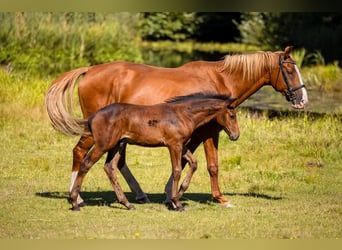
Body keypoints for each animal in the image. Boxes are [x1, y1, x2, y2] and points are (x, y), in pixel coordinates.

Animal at [69, 93, 240, 211]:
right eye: (232, 116)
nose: (235, 135)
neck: (183, 114)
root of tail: (92, 117)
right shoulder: (174, 145)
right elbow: (177, 170)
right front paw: (176, 203)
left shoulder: (181, 145)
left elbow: (194, 163)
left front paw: (177, 195)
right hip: (103, 145)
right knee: (85, 164)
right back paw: (75, 202)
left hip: (118, 144)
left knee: (109, 167)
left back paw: (127, 204)